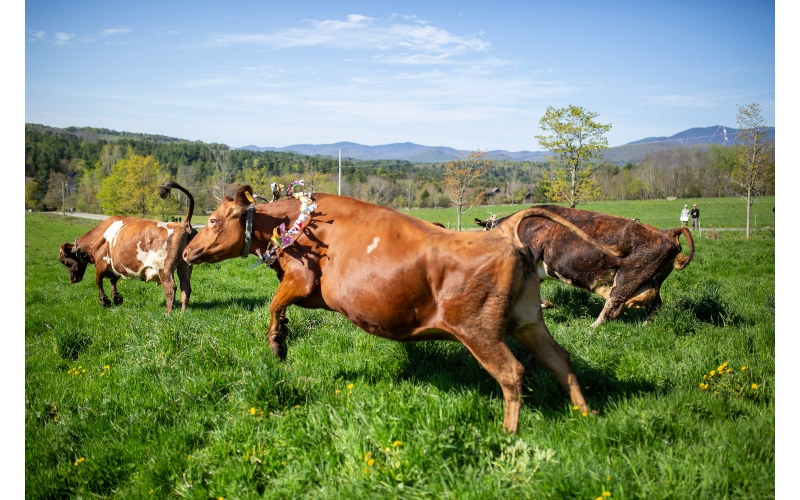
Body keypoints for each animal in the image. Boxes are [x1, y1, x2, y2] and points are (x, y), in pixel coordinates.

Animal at [59, 180, 197, 313]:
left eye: (65, 262)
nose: (72, 279)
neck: (98, 235)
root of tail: (182, 223)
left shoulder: (101, 263)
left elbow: (98, 282)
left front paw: (105, 302)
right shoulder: (113, 266)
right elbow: (113, 281)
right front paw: (116, 298)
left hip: (164, 268)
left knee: (170, 288)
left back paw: (168, 314)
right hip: (185, 266)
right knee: (186, 288)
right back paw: (182, 313)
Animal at [181, 185, 627, 432]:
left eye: (213, 219)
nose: (186, 251)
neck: (300, 222)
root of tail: (504, 236)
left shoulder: (302, 280)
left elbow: (274, 306)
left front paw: (278, 345)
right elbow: (279, 307)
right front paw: (282, 340)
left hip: (478, 330)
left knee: (512, 372)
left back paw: (508, 434)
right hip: (529, 321)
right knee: (560, 361)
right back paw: (586, 416)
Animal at [476, 205, 694, 327]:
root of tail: (667, 233)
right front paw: (545, 304)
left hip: (628, 279)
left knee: (613, 307)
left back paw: (591, 329)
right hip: (652, 280)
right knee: (655, 305)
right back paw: (645, 327)